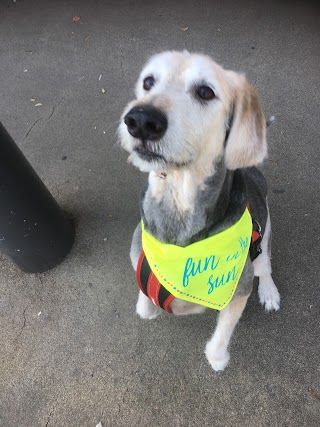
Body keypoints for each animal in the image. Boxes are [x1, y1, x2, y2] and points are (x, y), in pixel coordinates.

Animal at [118, 51, 280, 372]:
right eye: (148, 81)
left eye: (205, 91)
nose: (141, 120)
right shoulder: (140, 262)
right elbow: (144, 304)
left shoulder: (239, 289)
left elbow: (221, 336)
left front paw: (217, 358)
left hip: (265, 231)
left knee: (265, 264)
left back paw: (269, 291)